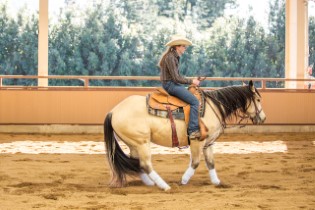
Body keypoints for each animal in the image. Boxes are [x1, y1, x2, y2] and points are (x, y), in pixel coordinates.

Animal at [104, 80, 266, 190]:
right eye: (258, 99)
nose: (263, 118)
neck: (213, 106)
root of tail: (114, 111)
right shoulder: (197, 141)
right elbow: (195, 162)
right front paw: (183, 180)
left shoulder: (208, 143)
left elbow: (211, 163)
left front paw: (217, 182)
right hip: (142, 142)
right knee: (145, 164)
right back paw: (164, 186)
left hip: (134, 144)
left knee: (137, 163)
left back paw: (150, 182)